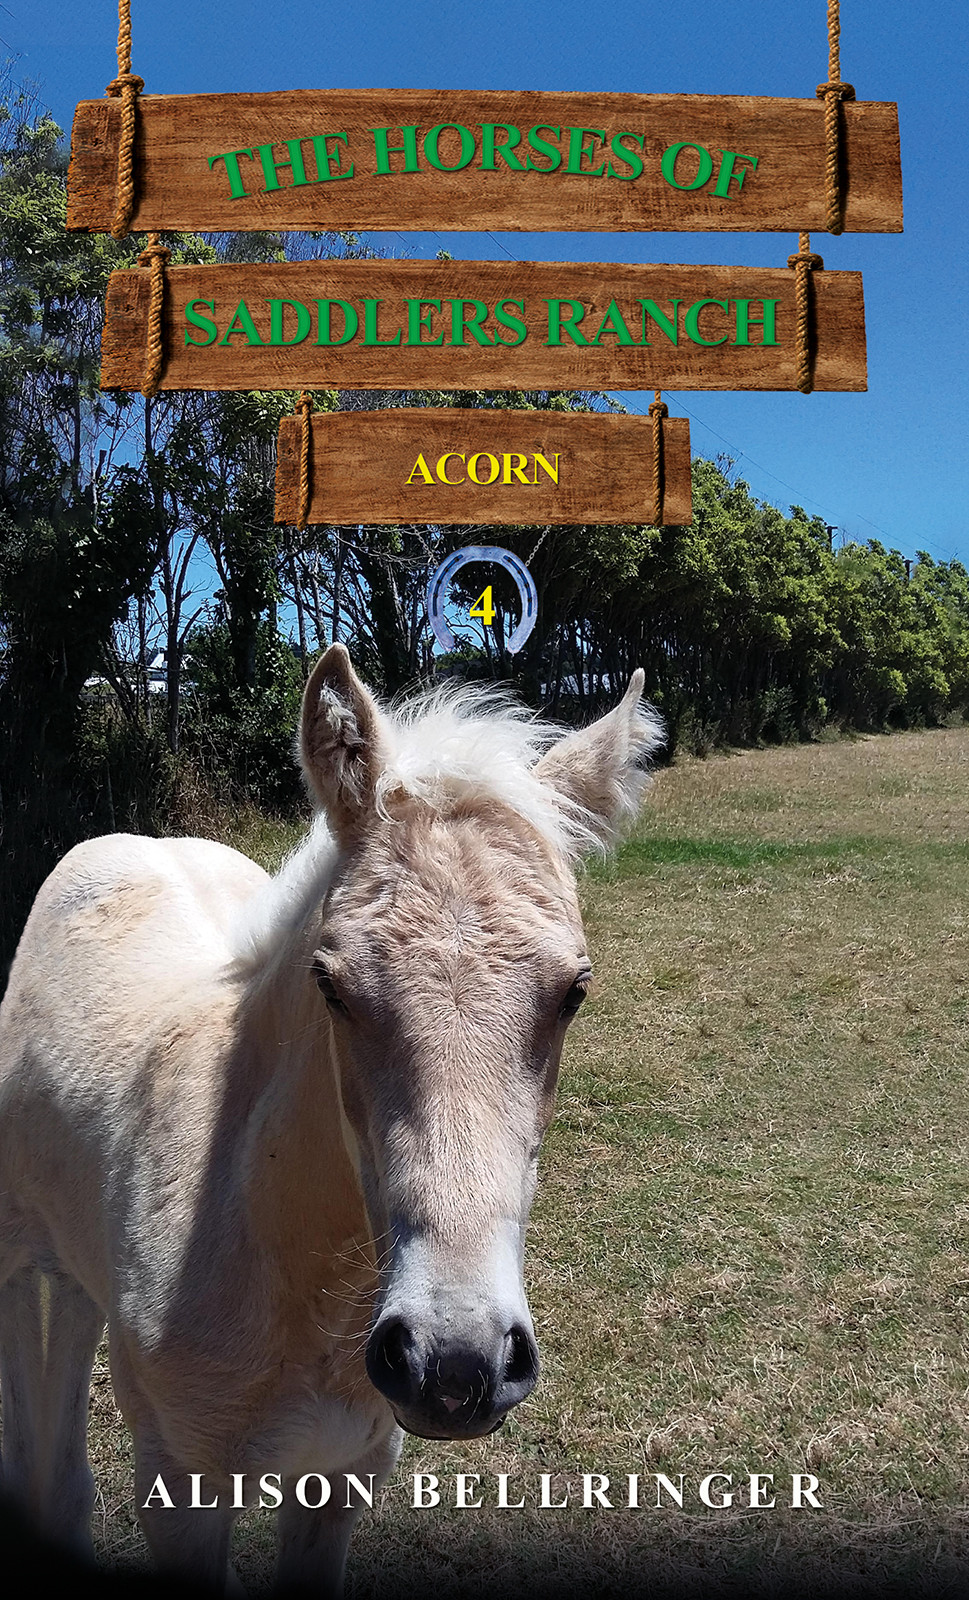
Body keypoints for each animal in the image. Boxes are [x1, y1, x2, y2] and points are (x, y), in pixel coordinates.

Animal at [0, 644, 663, 1595]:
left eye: (574, 990)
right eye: (330, 984)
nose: (453, 1364)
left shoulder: (344, 1474)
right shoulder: (180, 1488)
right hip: (19, 1260)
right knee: (43, 1467)